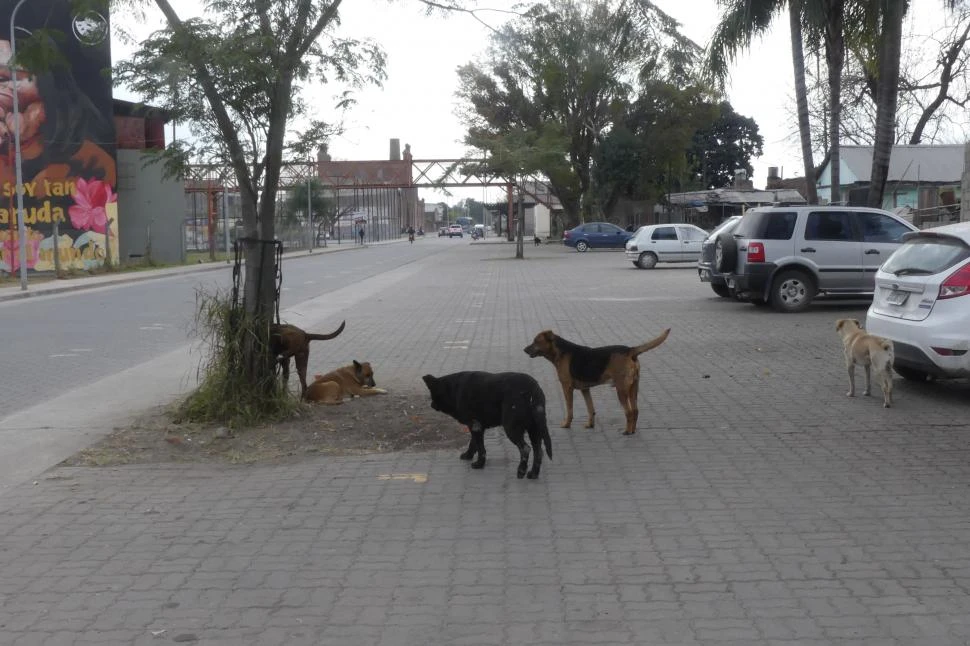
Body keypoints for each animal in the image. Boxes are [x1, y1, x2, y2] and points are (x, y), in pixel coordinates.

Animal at [418, 372, 548, 478]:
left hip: (511, 428)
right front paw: (468, 455)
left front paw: (479, 464)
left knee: (525, 449)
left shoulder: (475, 425)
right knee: (538, 452)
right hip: (534, 431)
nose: (431, 404)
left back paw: (521, 471)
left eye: (433, 394)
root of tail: (533, 388)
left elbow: (481, 448)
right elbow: (473, 443)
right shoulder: (477, 426)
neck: (453, 389)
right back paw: (533, 474)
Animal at [520, 330, 672, 436]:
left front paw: (566, 424)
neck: (560, 352)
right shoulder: (585, 389)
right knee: (635, 410)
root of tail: (630, 350)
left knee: (629, 412)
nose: (524, 350)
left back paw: (627, 431)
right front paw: (590, 424)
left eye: (536, 341)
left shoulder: (567, 387)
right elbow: (590, 408)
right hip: (633, 388)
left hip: (621, 390)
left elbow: (569, 410)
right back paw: (632, 430)